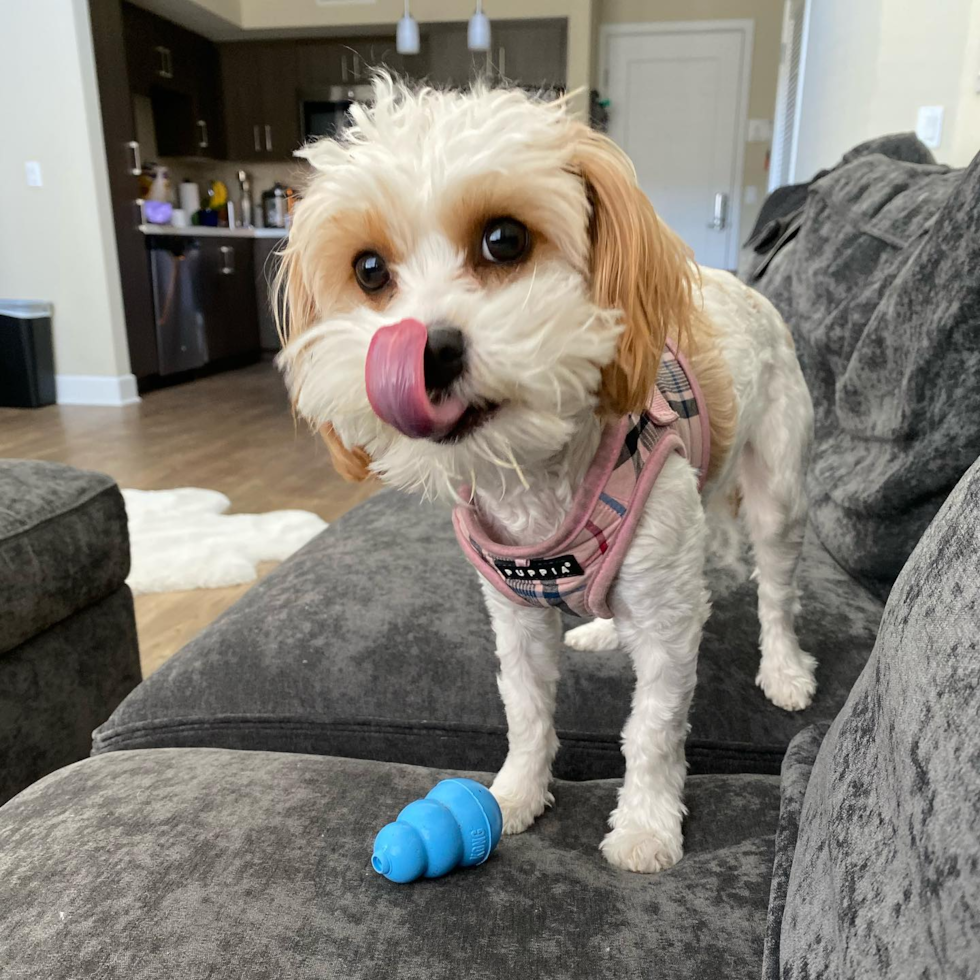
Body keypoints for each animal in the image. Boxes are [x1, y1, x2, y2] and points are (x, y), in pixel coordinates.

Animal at [272, 78, 816, 872]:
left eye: (505, 240)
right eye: (369, 270)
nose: (424, 350)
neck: (533, 480)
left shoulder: (667, 625)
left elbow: (652, 730)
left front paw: (647, 825)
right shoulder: (517, 616)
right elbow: (526, 712)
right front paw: (514, 795)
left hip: (777, 485)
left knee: (774, 588)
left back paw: (783, 668)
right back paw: (602, 632)